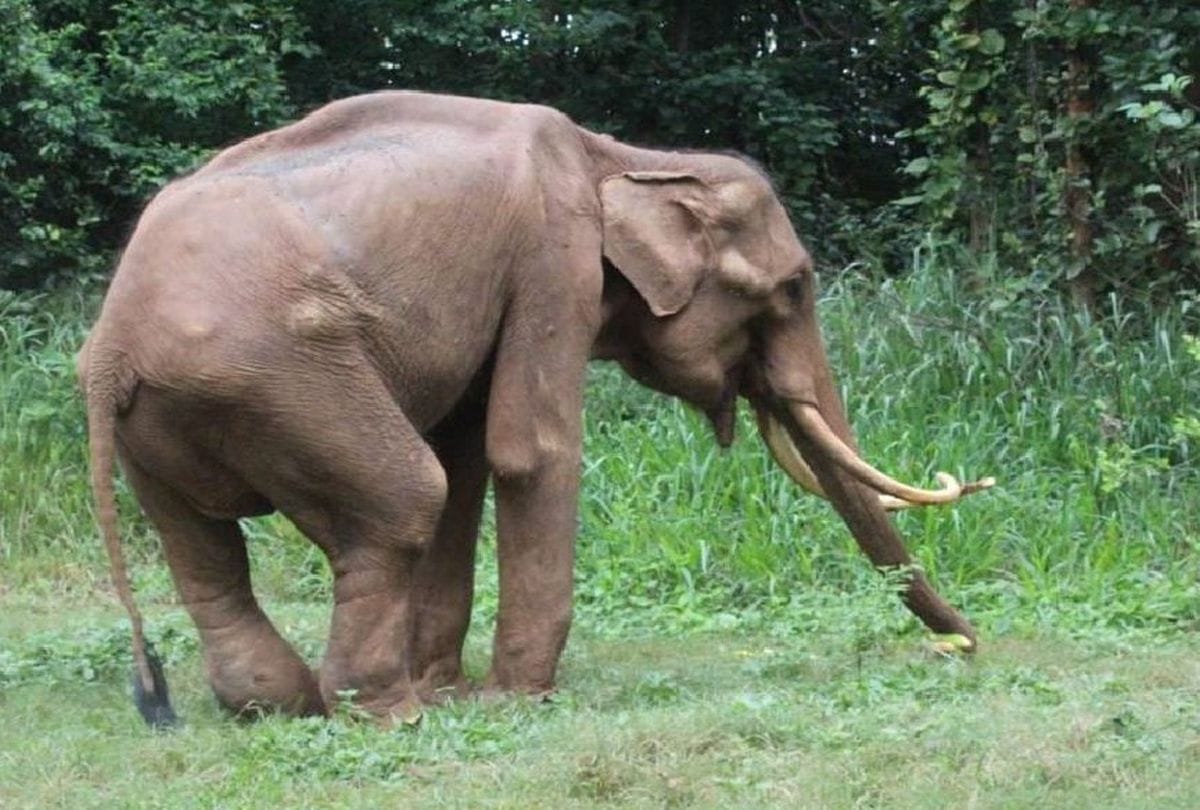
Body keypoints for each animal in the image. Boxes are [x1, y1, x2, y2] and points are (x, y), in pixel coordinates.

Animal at [78, 91, 993, 726]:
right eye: (794, 288)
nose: (965, 646)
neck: (621, 155)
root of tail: (112, 347)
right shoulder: (554, 255)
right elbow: (523, 451)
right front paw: (519, 700)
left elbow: (466, 454)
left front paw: (453, 689)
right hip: (282, 378)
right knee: (401, 498)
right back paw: (388, 715)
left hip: (166, 427)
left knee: (206, 554)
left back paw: (283, 706)